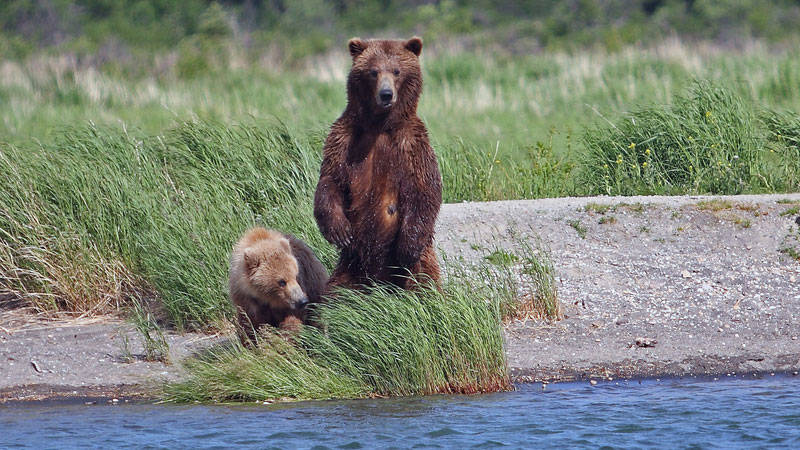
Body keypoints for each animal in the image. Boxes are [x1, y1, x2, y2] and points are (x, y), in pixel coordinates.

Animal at [312, 36, 440, 288]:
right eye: (373, 71)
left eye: (397, 71)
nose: (386, 94)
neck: (381, 125)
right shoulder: (344, 138)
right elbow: (331, 179)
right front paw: (340, 231)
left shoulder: (412, 144)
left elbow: (424, 188)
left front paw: (407, 248)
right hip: (350, 266)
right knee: (337, 290)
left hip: (417, 265)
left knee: (423, 281)